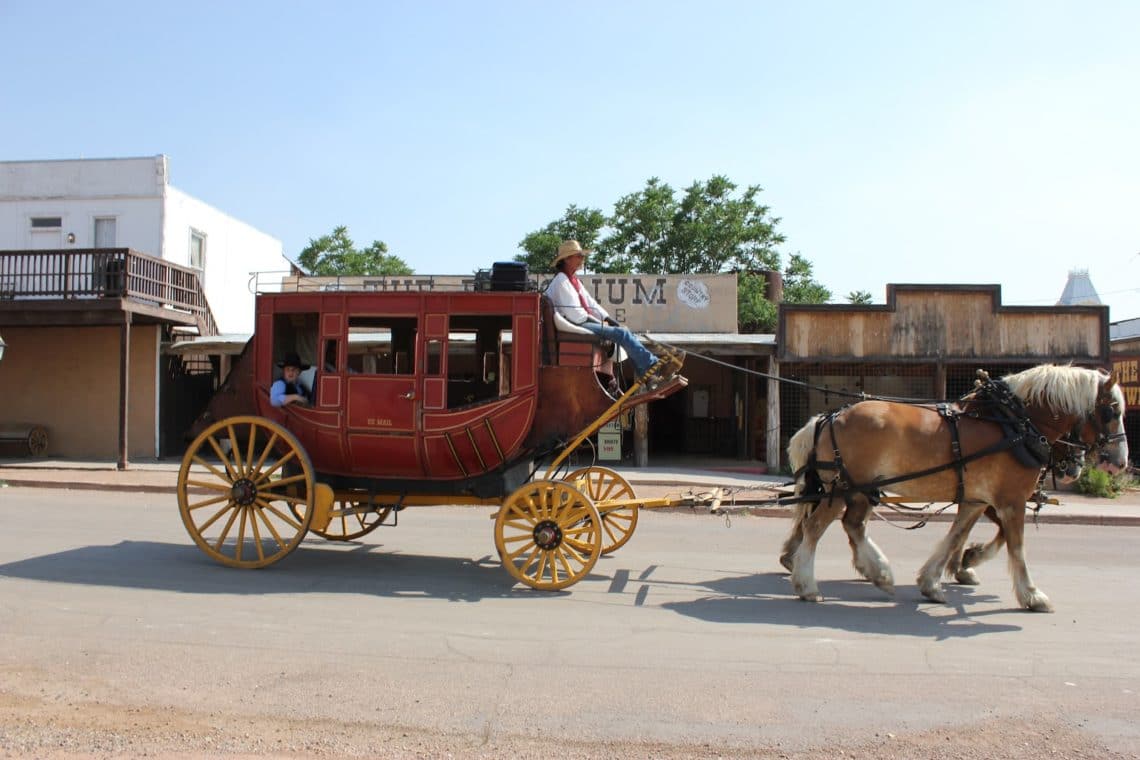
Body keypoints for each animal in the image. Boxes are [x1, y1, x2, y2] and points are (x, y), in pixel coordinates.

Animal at [779, 364, 1126, 610]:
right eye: (1112, 410)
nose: (1120, 462)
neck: (1014, 423)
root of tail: (830, 416)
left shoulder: (976, 500)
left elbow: (955, 536)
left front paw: (934, 581)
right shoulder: (1010, 500)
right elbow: (1016, 546)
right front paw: (1031, 594)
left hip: (862, 488)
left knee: (853, 525)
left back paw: (880, 573)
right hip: (843, 487)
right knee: (815, 527)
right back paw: (808, 585)